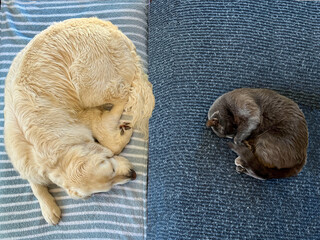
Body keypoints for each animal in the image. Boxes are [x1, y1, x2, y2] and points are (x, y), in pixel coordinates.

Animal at [4, 18, 155, 225]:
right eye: (110, 182)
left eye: (111, 166)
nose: (133, 175)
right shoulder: (25, 162)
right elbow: (35, 184)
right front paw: (48, 208)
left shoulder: (80, 119)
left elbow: (110, 141)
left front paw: (120, 132)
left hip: (86, 81)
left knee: (124, 94)